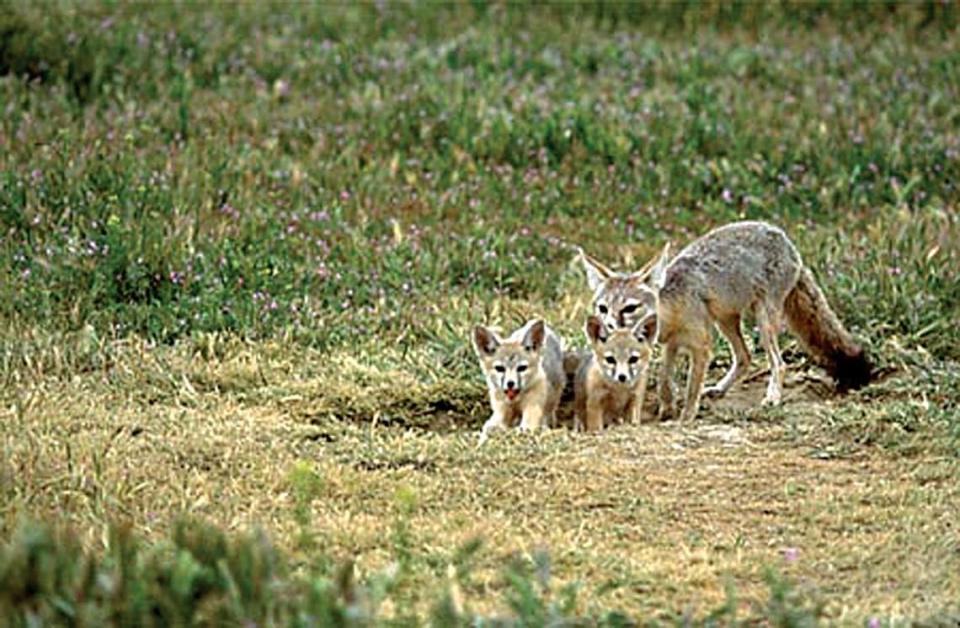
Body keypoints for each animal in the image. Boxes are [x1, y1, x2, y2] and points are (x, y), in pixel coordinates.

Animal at [470, 318, 568, 446]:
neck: (515, 401)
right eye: (500, 368)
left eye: (522, 368)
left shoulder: (533, 408)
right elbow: (490, 426)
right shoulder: (500, 412)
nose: (510, 383)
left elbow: (527, 427)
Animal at [580, 221, 872, 422]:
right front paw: (666, 406)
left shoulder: (701, 344)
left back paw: (772, 397)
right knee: (745, 357)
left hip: (763, 321)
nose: (608, 327)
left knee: (778, 363)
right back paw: (720, 389)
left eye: (629, 308)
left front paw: (686, 416)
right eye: (603, 308)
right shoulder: (671, 344)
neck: (672, 308)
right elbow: (664, 378)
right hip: (726, 321)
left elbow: (692, 386)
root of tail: (786, 240)